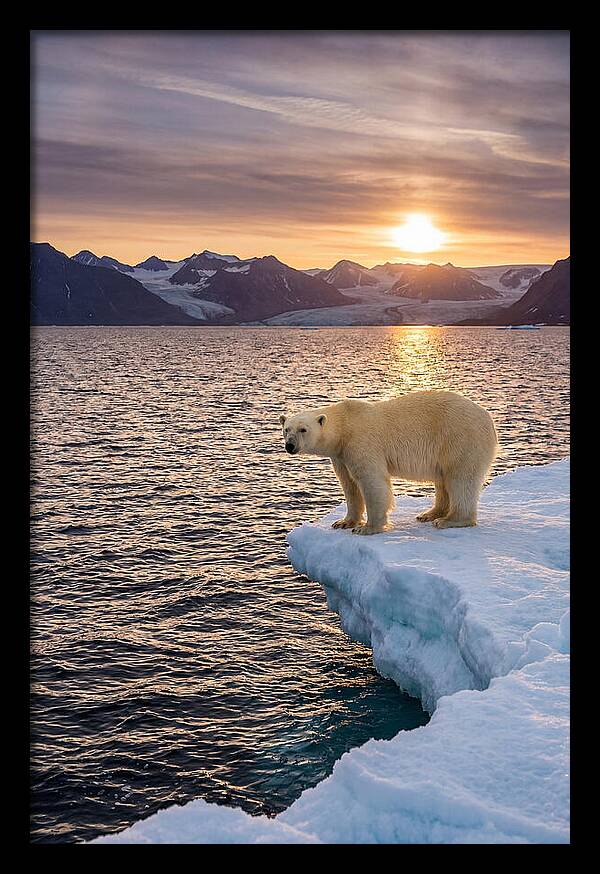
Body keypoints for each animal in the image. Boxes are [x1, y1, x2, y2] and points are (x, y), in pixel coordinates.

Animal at [279, 390, 498, 535]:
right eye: (286, 429)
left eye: (303, 429)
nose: (290, 445)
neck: (345, 426)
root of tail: (489, 418)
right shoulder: (341, 455)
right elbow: (349, 485)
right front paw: (343, 522)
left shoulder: (361, 442)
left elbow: (372, 481)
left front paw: (367, 528)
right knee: (443, 480)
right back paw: (429, 514)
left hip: (460, 439)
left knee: (460, 478)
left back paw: (449, 520)